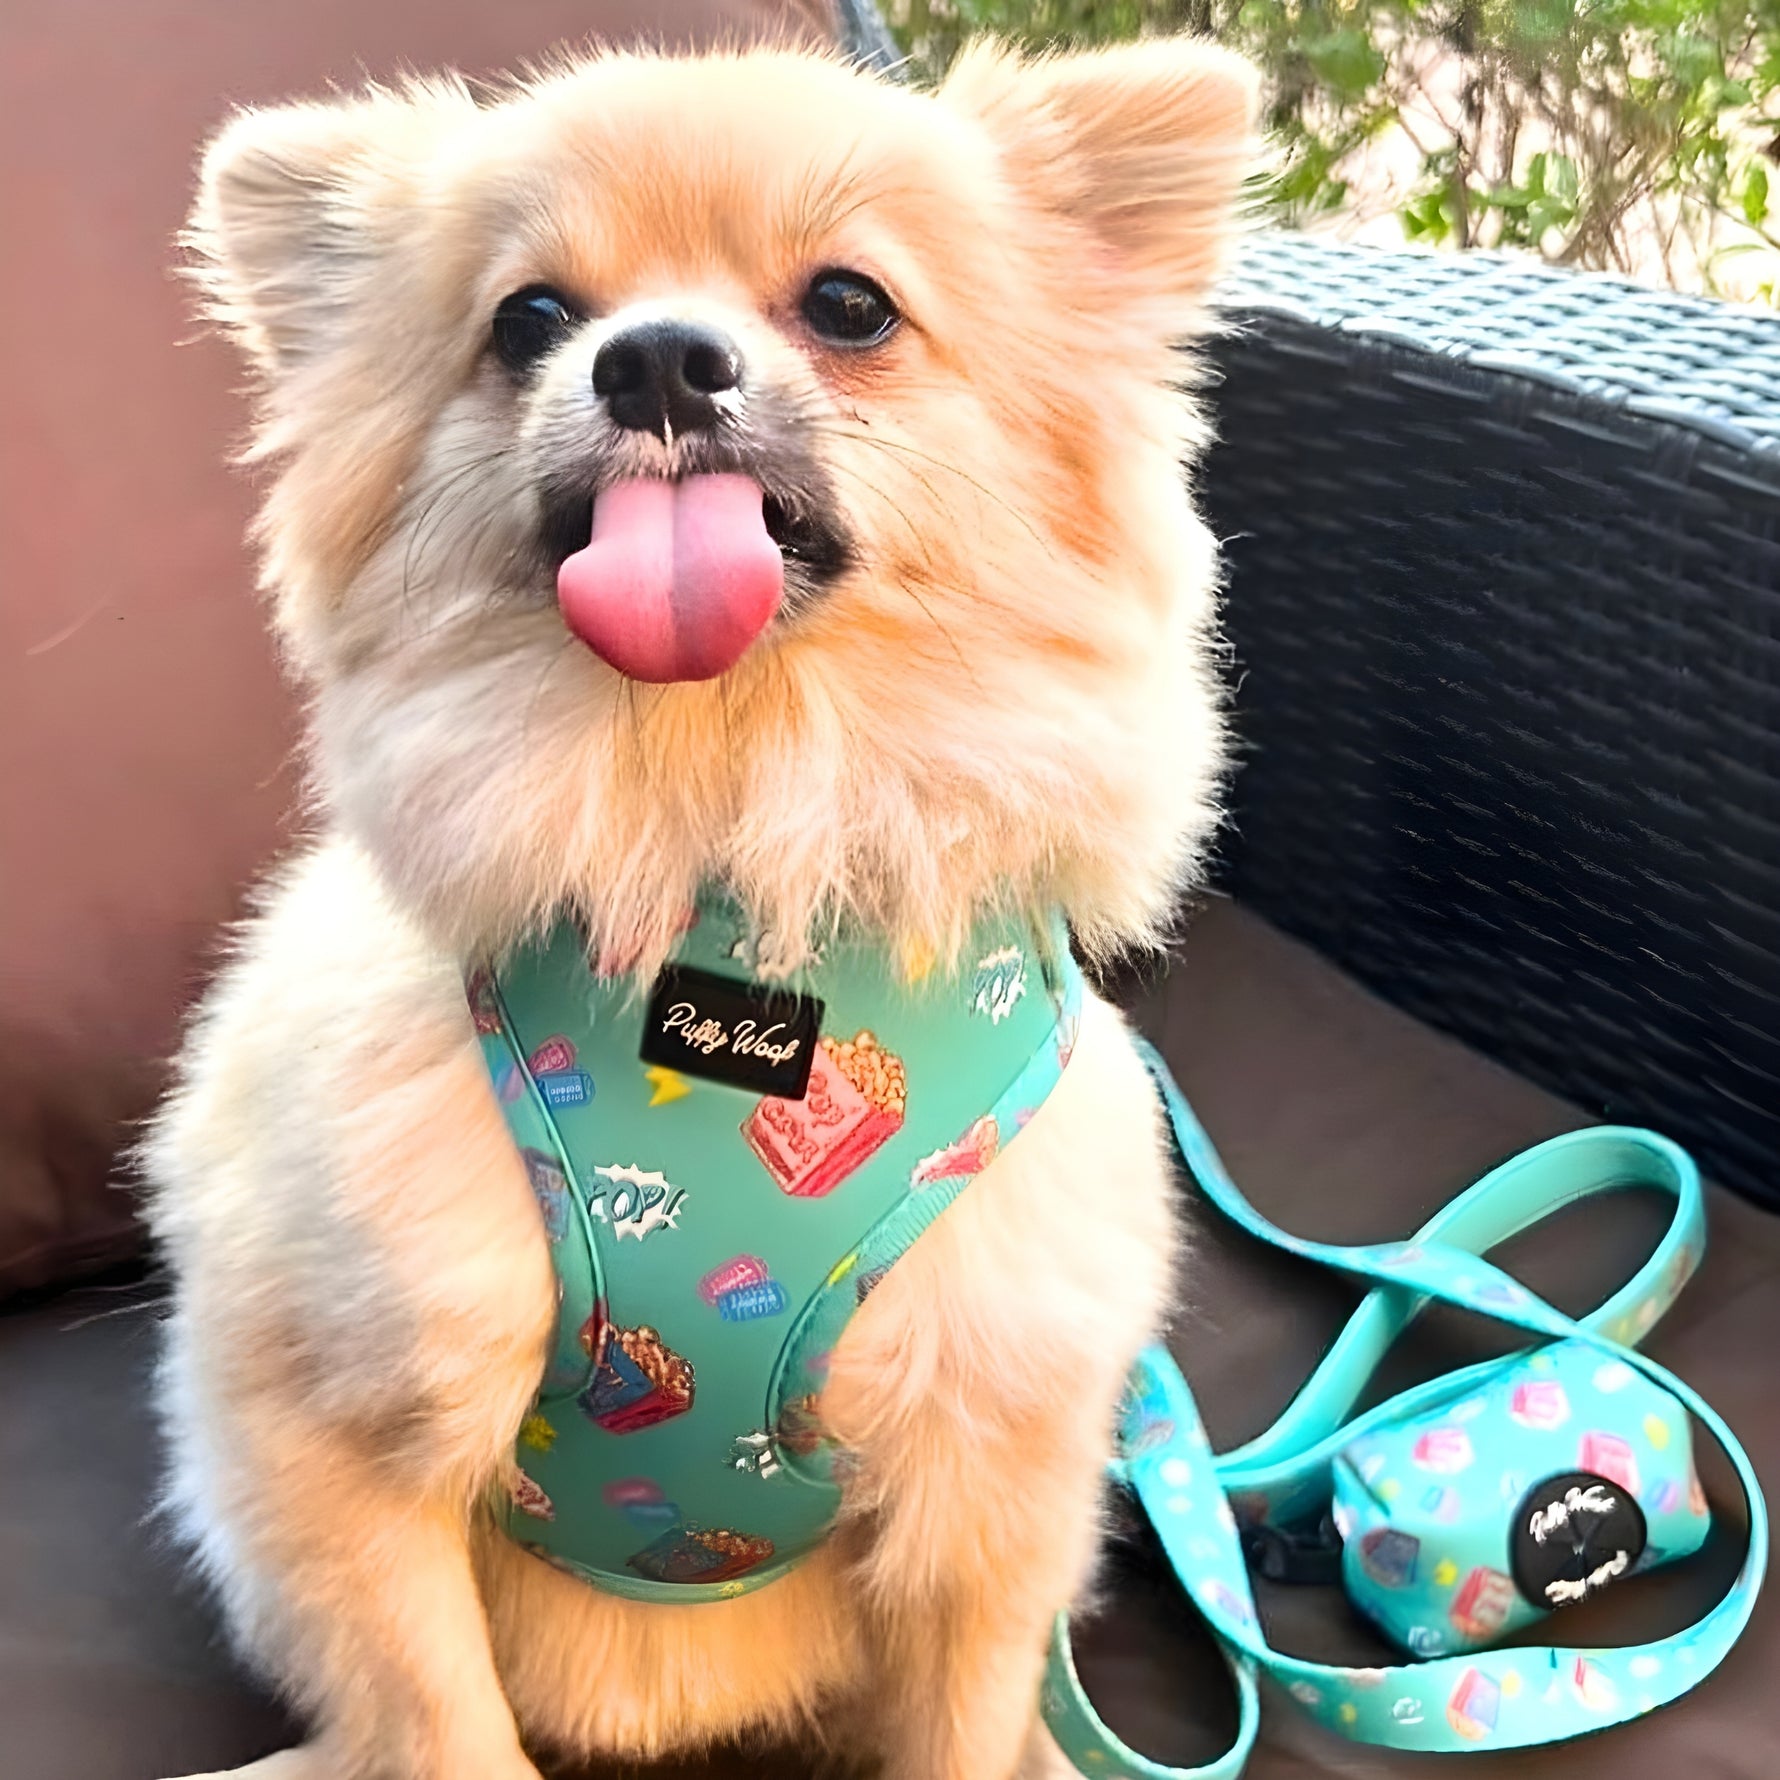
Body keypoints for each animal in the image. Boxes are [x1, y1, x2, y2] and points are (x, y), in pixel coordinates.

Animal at [145, 35, 1255, 1780]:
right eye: (528, 318)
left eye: (852, 304)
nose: (657, 361)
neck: (724, 864)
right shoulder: (340, 1448)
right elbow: (440, 1723)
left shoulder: (996, 1483)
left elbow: (964, 1727)